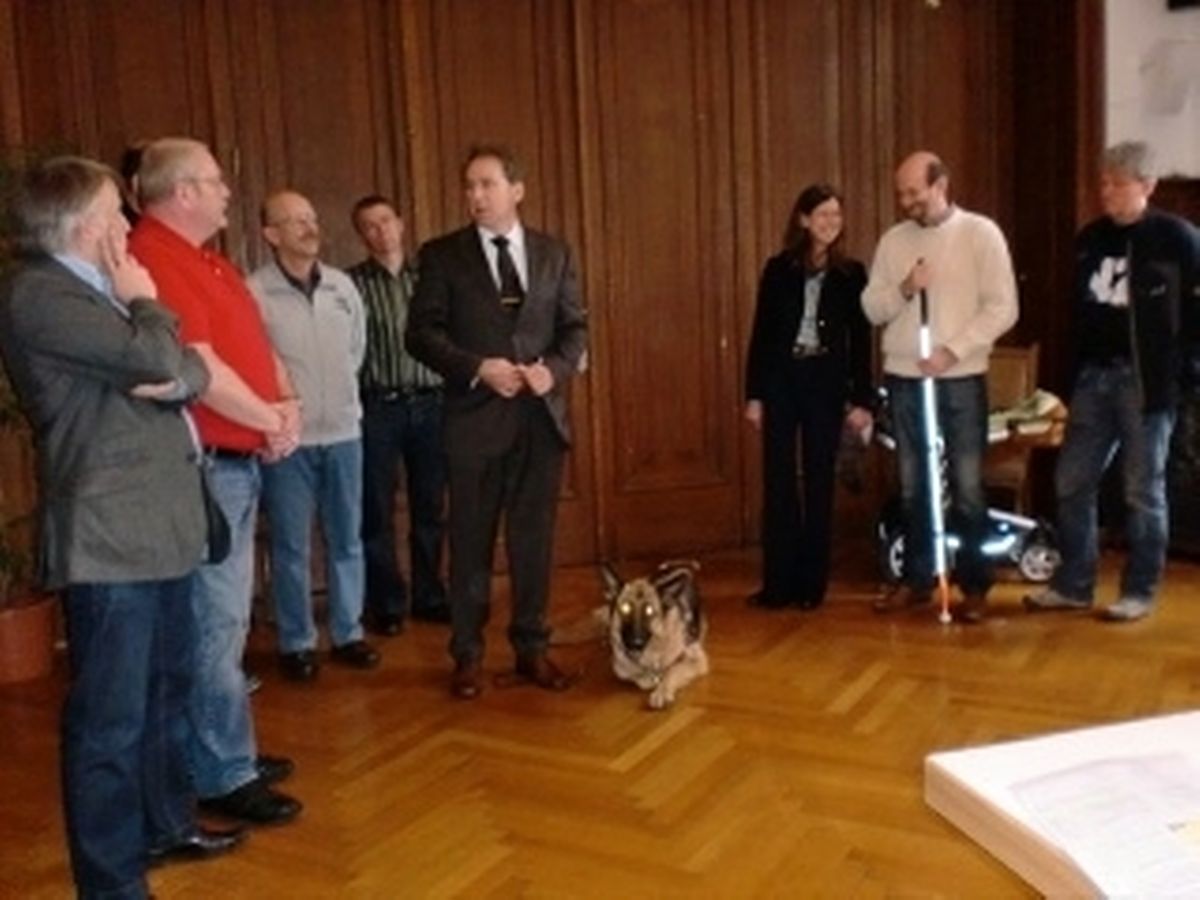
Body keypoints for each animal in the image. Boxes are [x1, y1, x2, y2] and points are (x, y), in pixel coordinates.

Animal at [600, 560, 709, 710]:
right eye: (625, 608)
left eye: (649, 610)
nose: (635, 643)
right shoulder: (620, 668)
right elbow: (635, 676)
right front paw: (648, 679)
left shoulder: (696, 659)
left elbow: (673, 670)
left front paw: (662, 690)